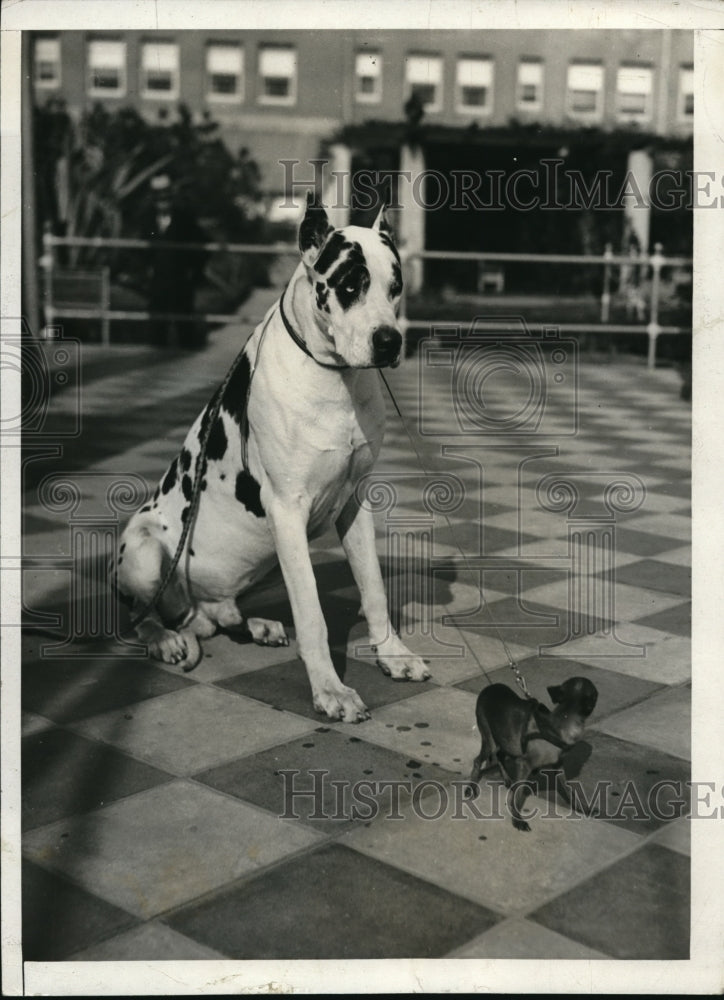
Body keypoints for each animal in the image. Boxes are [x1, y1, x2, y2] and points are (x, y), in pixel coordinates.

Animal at [114, 195, 430, 724]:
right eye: (349, 285)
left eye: (396, 288)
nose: (389, 341)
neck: (333, 377)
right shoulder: (287, 511)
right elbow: (312, 613)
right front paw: (330, 690)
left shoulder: (355, 504)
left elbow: (375, 590)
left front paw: (392, 653)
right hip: (141, 548)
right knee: (139, 615)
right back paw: (164, 638)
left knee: (217, 614)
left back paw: (251, 623)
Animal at [466, 676, 596, 832]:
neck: (563, 718)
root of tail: (488, 689)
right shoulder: (524, 765)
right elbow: (516, 795)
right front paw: (517, 819)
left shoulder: (558, 766)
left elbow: (569, 790)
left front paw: (581, 807)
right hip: (490, 741)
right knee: (478, 761)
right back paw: (471, 788)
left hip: (504, 740)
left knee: (500, 756)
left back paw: (507, 779)